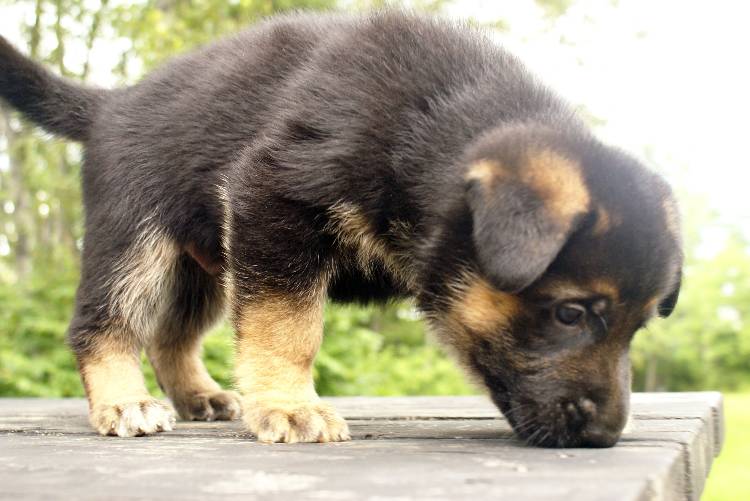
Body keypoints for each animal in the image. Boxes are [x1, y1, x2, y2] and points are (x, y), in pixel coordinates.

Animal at [0, 10, 680, 446]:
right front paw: (291, 407)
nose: (606, 437)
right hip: (136, 241)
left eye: (639, 326)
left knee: (174, 336)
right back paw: (123, 401)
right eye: (570, 314)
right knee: (102, 323)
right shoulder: (274, 204)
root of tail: (112, 104)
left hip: (203, 262)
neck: (431, 125)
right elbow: (287, 328)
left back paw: (198, 396)